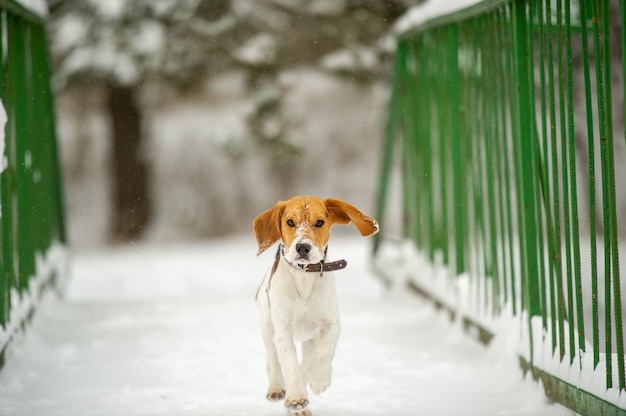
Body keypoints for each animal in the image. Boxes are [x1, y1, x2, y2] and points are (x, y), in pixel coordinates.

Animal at [251, 197, 378, 414]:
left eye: (319, 222)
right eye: (290, 222)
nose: (303, 247)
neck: (304, 275)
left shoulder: (331, 324)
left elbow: (324, 352)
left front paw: (319, 381)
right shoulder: (283, 331)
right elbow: (290, 364)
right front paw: (296, 398)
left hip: (310, 338)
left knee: (309, 360)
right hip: (267, 325)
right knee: (273, 360)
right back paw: (277, 388)